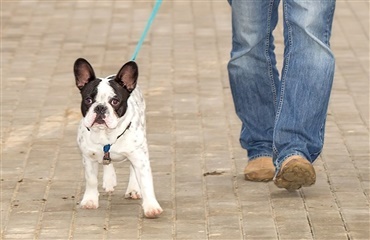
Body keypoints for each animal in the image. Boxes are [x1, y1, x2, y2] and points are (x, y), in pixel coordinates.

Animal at [73, 57, 162, 218]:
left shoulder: (140, 158)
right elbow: (91, 180)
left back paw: (133, 189)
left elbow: (145, 182)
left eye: (115, 101)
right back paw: (109, 179)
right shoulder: (88, 157)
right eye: (88, 100)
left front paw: (151, 207)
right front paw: (90, 200)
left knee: (132, 169)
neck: (106, 135)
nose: (100, 107)